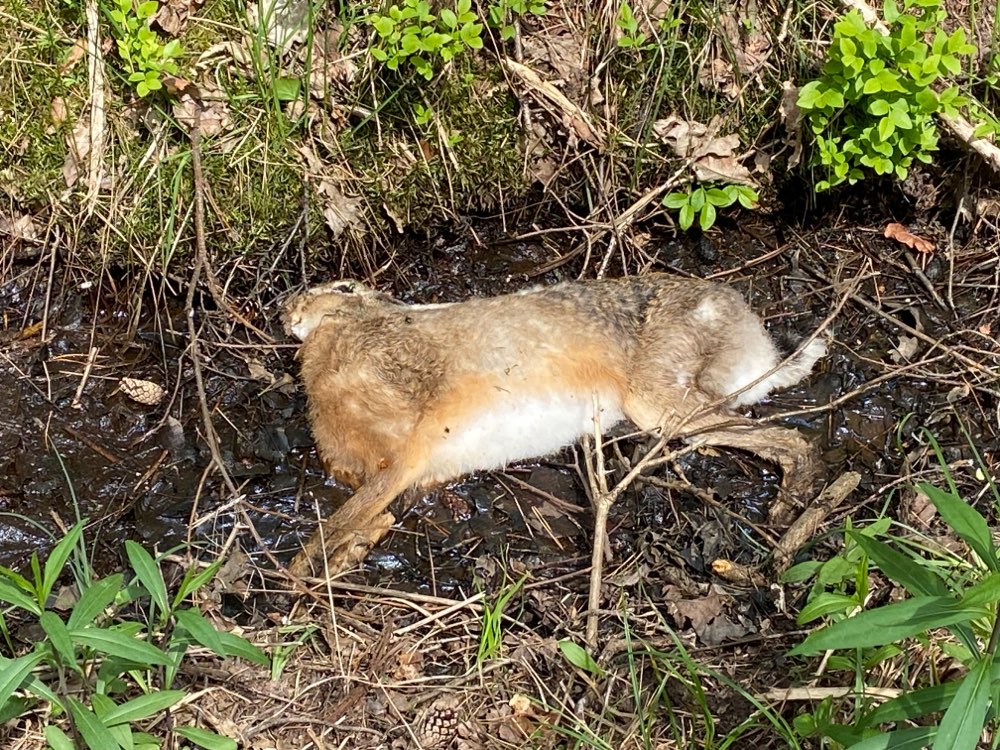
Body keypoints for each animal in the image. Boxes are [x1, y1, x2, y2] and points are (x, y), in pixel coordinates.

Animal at [282, 274, 827, 578]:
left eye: (344, 288)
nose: (289, 309)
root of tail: (750, 338)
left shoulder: (404, 451)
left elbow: (340, 521)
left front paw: (299, 577)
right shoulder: (404, 471)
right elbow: (370, 514)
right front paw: (344, 556)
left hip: (657, 399)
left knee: (793, 440)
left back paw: (787, 513)